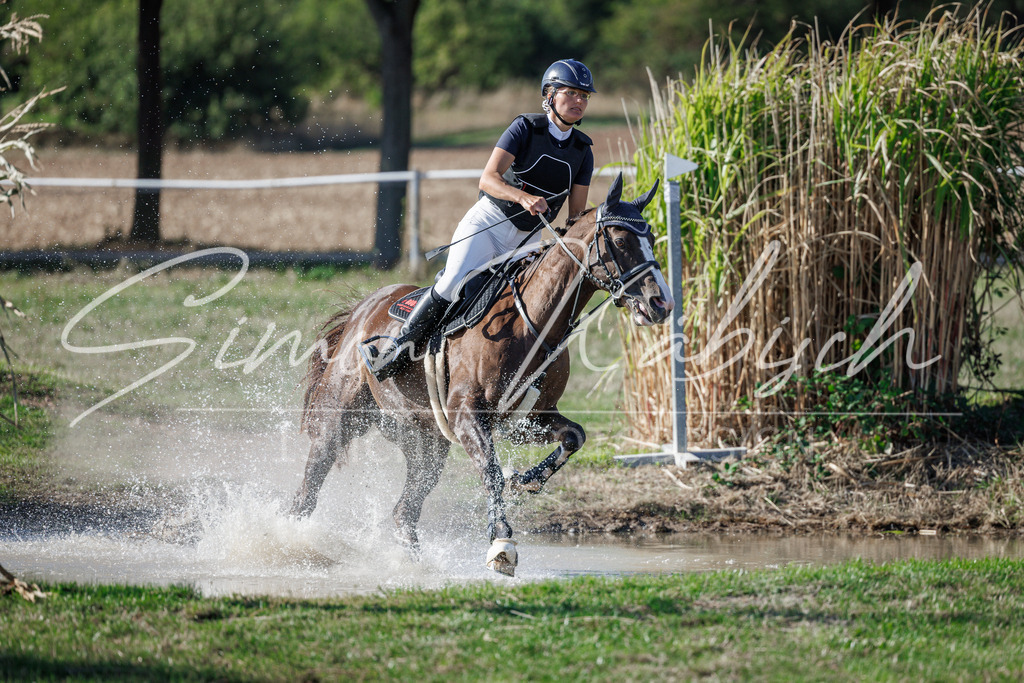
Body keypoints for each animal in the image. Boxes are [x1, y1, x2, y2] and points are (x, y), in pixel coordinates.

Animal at [290, 173, 674, 575]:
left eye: (651, 239)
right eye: (621, 241)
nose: (661, 303)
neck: (534, 324)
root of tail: (364, 307)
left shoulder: (528, 419)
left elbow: (574, 436)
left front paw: (526, 481)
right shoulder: (467, 416)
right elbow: (491, 473)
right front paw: (502, 543)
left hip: (425, 442)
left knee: (404, 512)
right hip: (339, 422)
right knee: (308, 493)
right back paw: (291, 545)